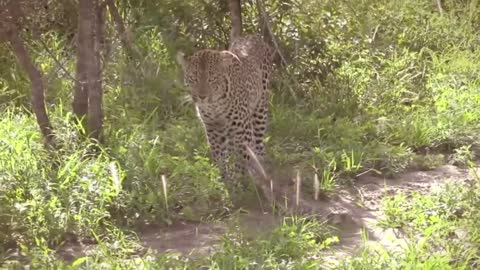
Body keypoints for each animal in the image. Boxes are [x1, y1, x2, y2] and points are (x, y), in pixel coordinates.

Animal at [177, 33, 276, 181]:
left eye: (212, 79)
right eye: (193, 78)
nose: (202, 96)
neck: (214, 105)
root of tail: (253, 36)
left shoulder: (242, 127)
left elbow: (242, 156)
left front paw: (238, 180)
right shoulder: (212, 127)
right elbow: (218, 154)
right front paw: (221, 177)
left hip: (260, 108)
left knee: (258, 141)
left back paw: (260, 166)